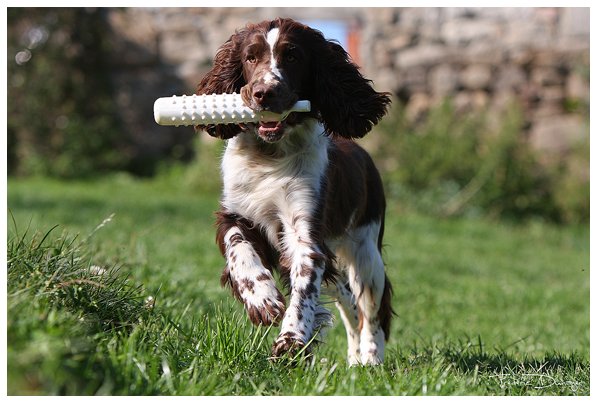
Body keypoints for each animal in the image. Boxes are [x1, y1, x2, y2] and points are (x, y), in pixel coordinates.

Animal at [196, 17, 393, 365]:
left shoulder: (305, 232)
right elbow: (238, 248)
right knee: (346, 297)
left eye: (293, 57)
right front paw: (262, 299)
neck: (270, 156)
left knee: (371, 308)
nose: (264, 93)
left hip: (367, 251)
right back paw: (354, 357)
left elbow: (303, 290)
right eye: (250, 57)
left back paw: (370, 359)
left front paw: (290, 342)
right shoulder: (233, 213)